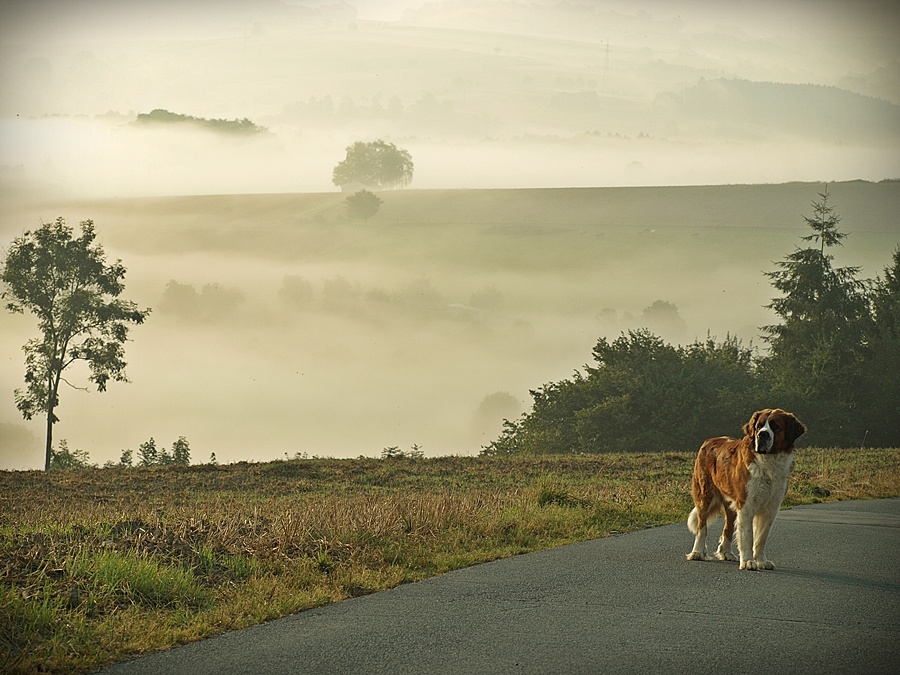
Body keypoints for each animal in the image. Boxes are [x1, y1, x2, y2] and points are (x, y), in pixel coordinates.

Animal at [684, 410, 804, 572]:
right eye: (759, 426)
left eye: (775, 426)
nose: (762, 434)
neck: (769, 461)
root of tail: (708, 441)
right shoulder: (746, 505)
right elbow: (747, 536)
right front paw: (747, 561)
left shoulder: (771, 507)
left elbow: (761, 537)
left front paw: (761, 561)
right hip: (704, 496)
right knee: (701, 527)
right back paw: (697, 552)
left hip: (731, 505)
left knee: (727, 528)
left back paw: (726, 553)